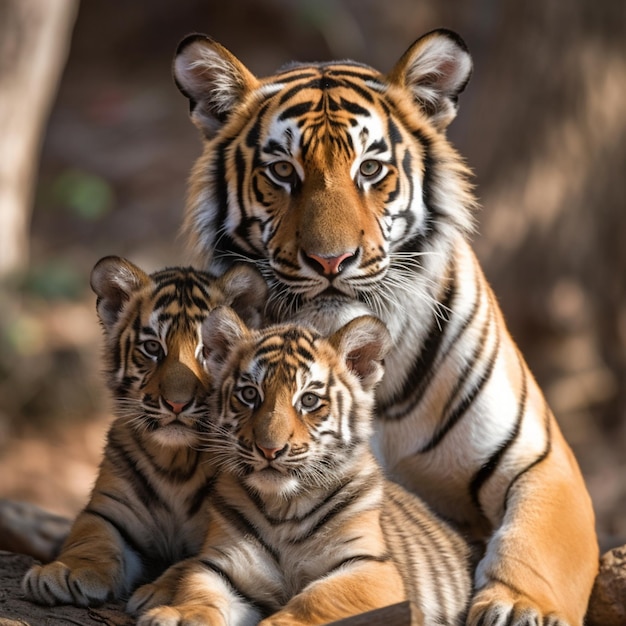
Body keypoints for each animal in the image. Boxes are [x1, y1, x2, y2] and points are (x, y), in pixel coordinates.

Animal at [22, 255, 264, 604]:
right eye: (152, 347)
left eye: (206, 350)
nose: (177, 403)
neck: (175, 463)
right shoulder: (109, 513)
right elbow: (90, 537)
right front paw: (63, 571)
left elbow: (197, 563)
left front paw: (165, 592)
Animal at [172, 28, 596, 620]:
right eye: (282, 171)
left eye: (370, 170)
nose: (330, 261)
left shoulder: (542, 461)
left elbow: (535, 544)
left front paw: (517, 607)